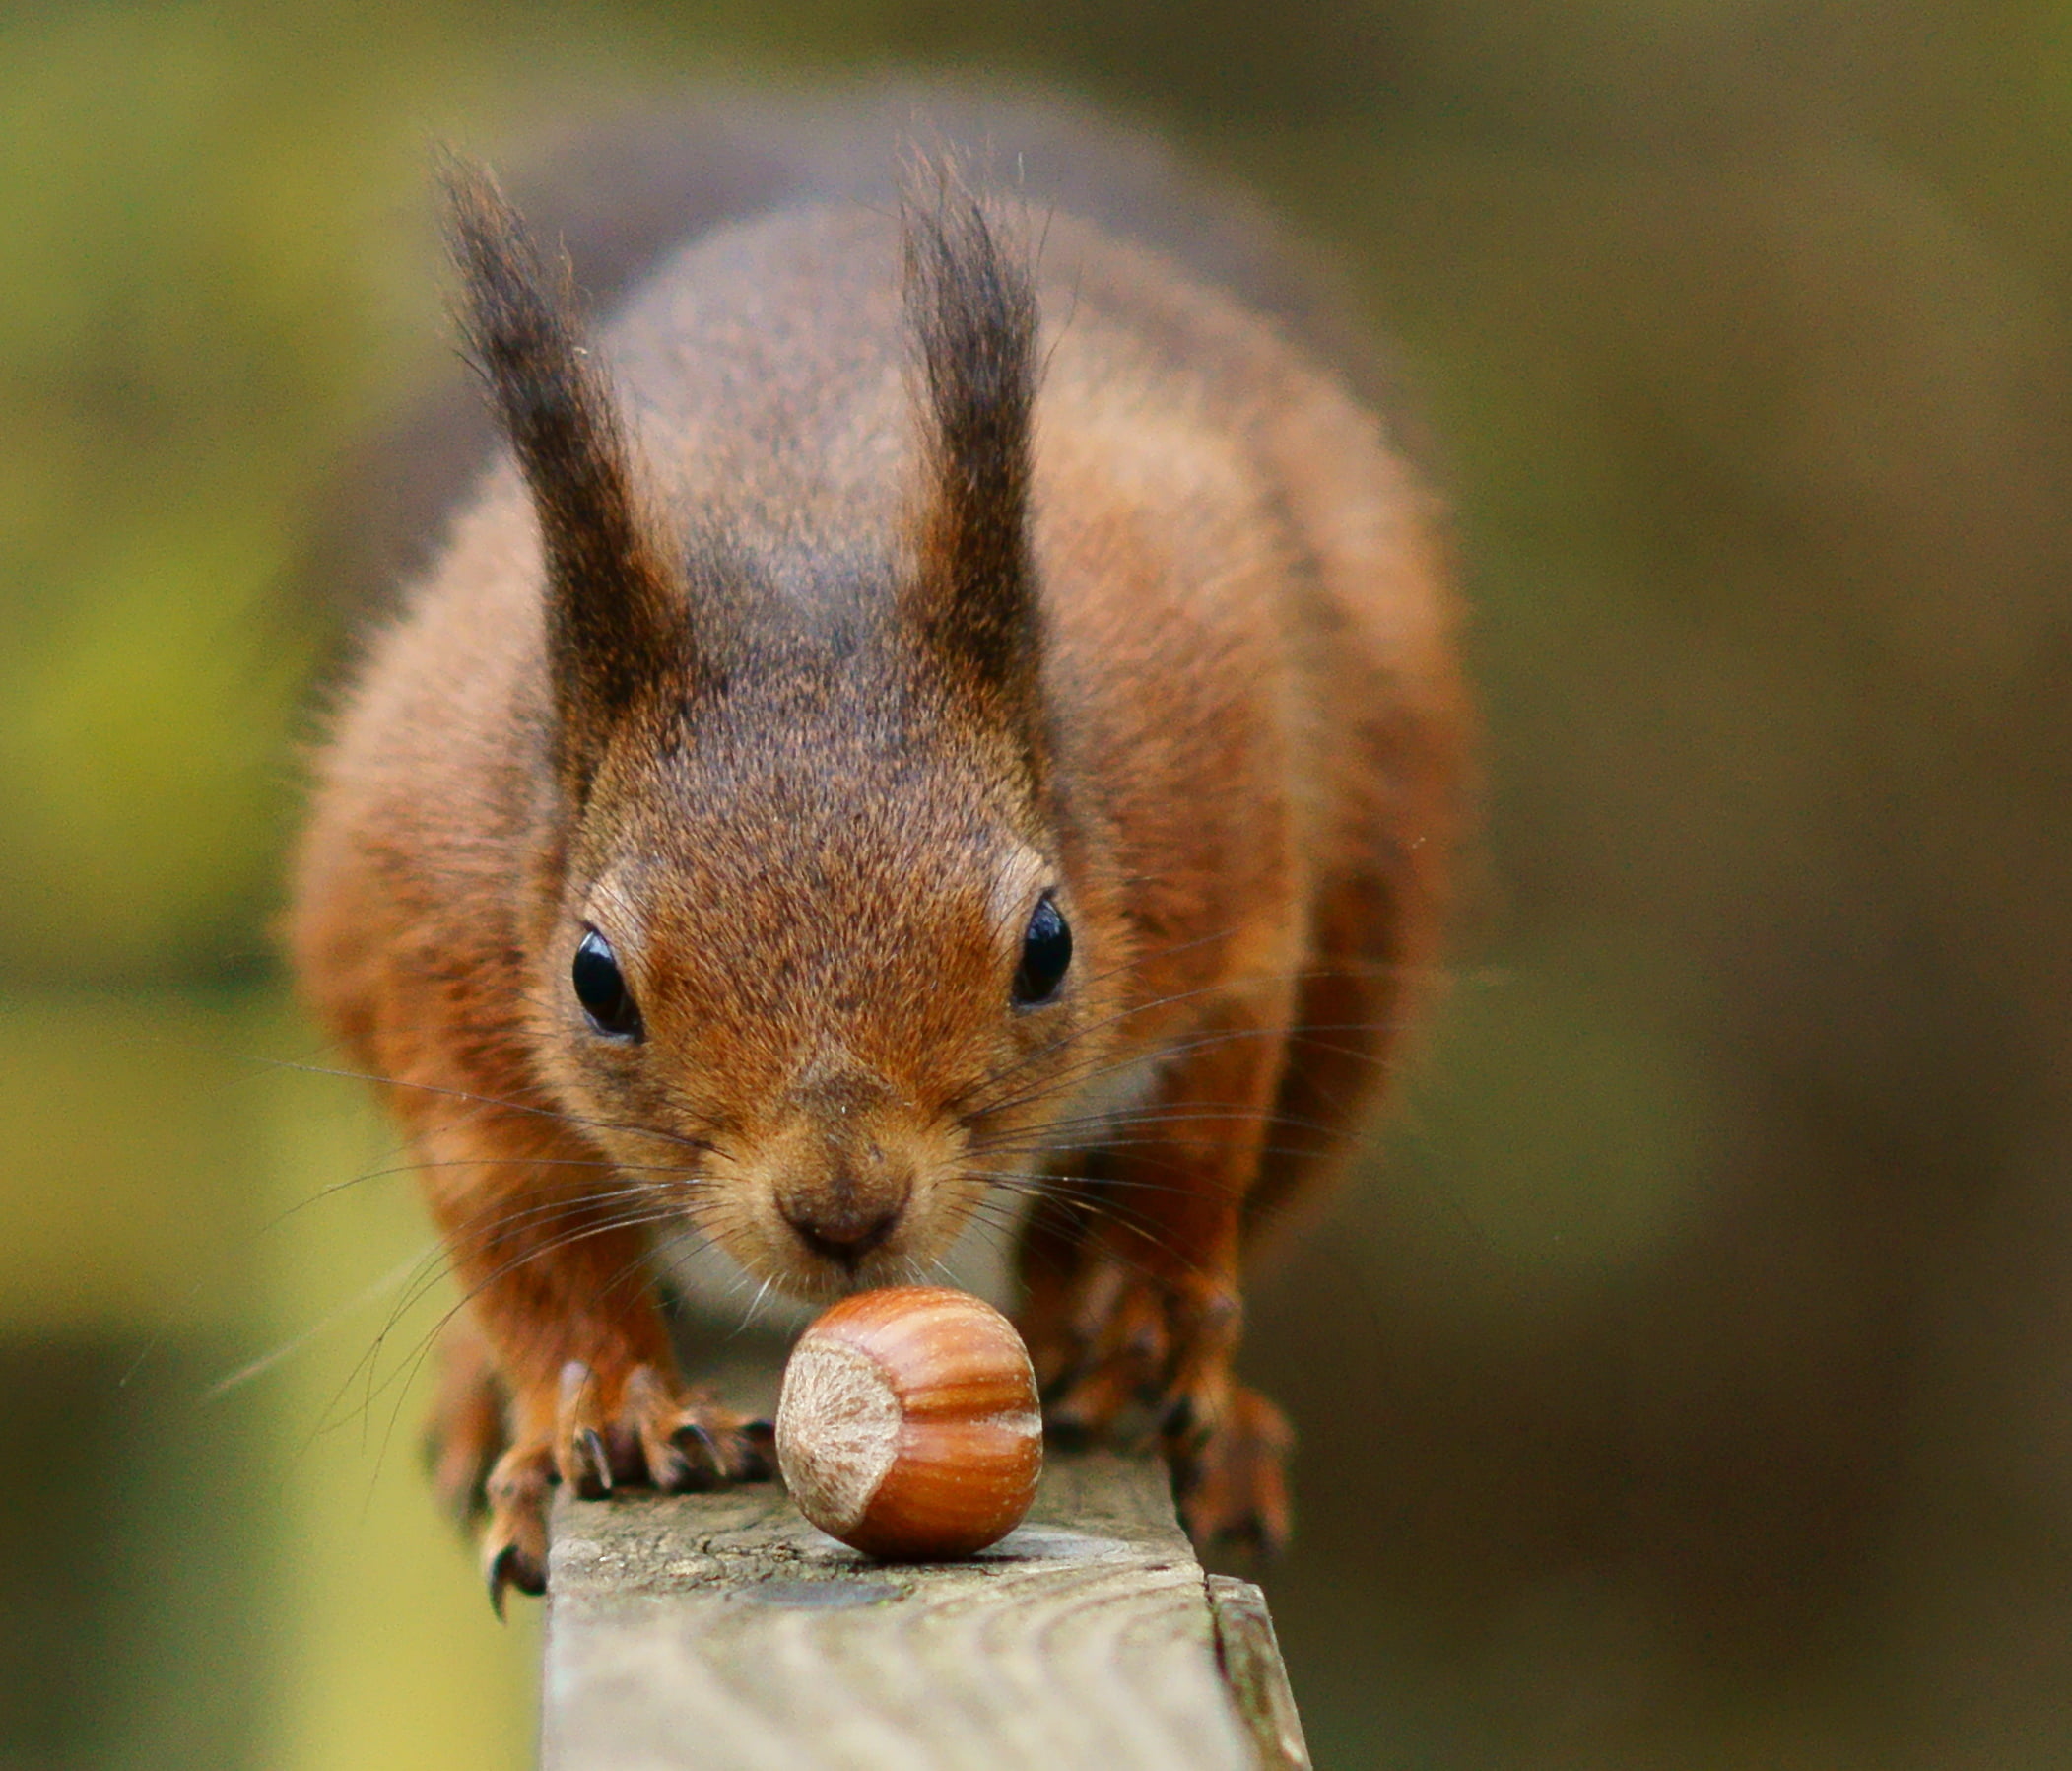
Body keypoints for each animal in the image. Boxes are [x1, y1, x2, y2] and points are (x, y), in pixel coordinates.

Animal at [287, 90, 1468, 1608]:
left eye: (1046, 948)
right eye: (595, 981)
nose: (844, 1209)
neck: (798, 534)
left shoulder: (1221, 858)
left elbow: (1196, 1138)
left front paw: (1145, 1314)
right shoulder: (440, 966)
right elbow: (518, 1243)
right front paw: (606, 1410)